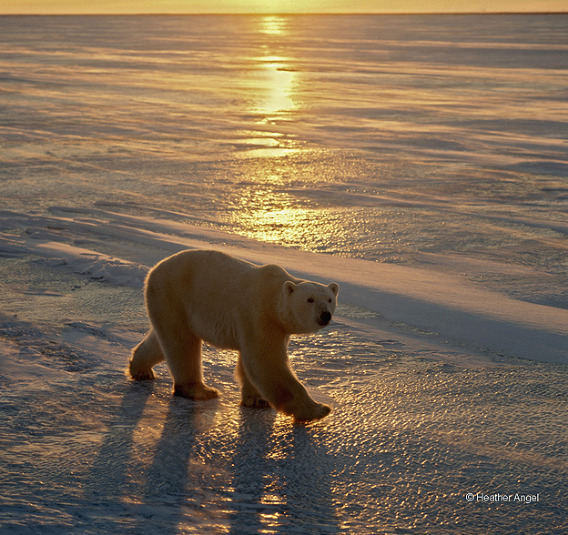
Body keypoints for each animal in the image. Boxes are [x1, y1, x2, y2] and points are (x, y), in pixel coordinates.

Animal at [130, 251, 338, 422]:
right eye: (310, 300)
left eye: (329, 299)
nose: (325, 315)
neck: (273, 298)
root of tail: (154, 269)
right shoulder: (259, 313)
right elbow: (265, 360)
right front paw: (317, 410)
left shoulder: (276, 326)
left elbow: (250, 361)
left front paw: (256, 400)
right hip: (174, 294)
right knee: (182, 344)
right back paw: (201, 390)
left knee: (162, 341)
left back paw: (141, 370)